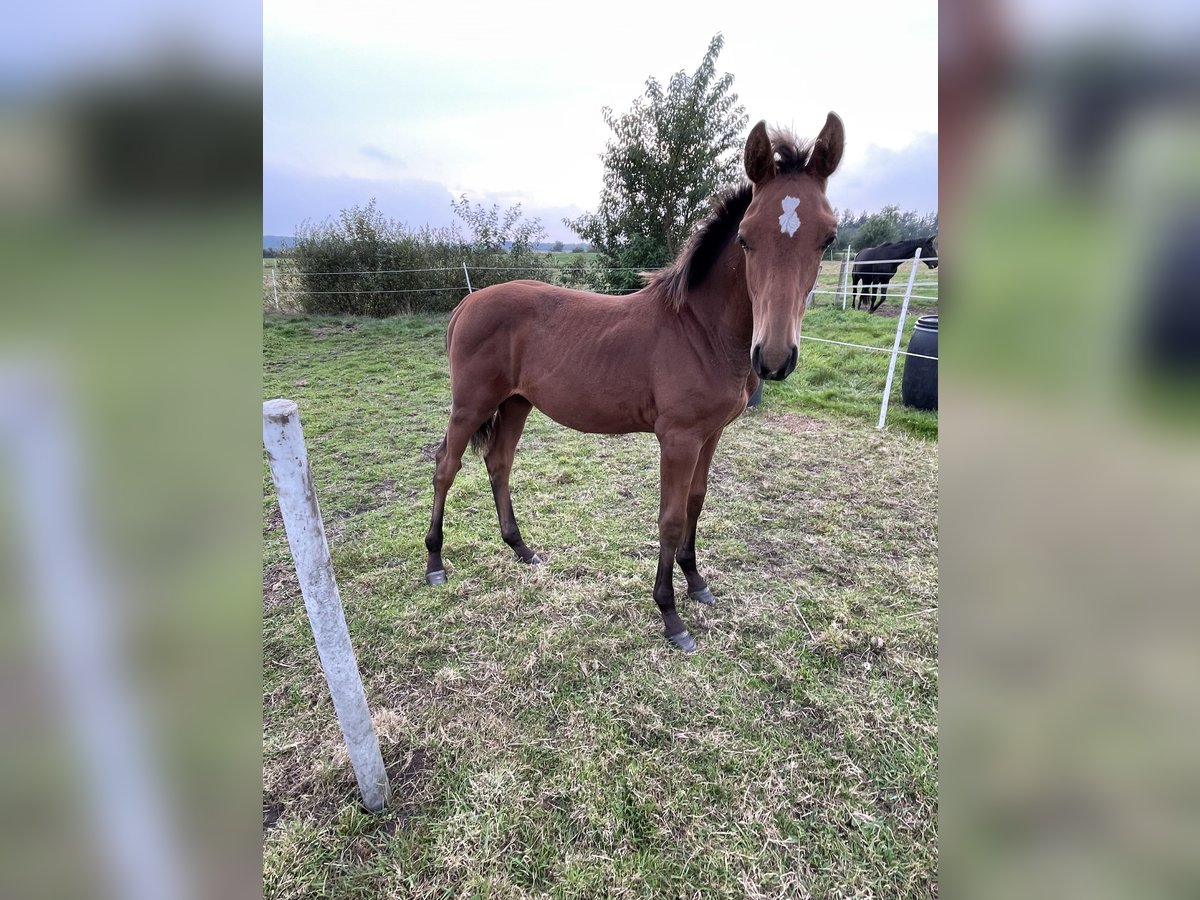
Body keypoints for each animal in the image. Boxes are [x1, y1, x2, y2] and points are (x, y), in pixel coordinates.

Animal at [422, 112, 844, 652]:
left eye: (828, 238)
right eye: (746, 237)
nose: (772, 358)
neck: (699, 329)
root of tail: (467, 303)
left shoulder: (711, 434)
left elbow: (695, 503)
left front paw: (696, 582)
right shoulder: (678, 438)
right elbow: (670, 518)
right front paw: (671, 615)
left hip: (516, 402)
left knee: (499, 463)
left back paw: (522, 549)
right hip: (472, 403)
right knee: (446, 466)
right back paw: (435, 562)